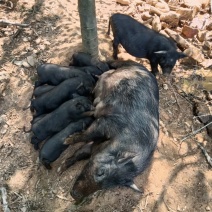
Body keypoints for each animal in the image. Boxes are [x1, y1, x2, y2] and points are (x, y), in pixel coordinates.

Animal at [64, 60, 159, 200]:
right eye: (101, 172)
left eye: (105, 187)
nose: (75, 195)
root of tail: (142, 68)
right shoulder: (107, 123)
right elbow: (86, 135)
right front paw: (66, 141)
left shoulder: (97, 145)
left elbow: (81, 152)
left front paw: (61, 167)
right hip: (113, 73)